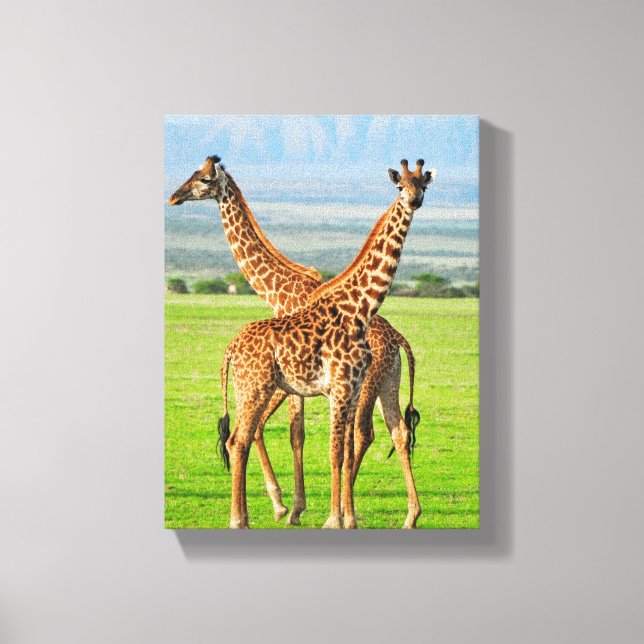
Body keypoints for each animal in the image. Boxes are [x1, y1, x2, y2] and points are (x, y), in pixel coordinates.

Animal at [169, 157, 423, 528]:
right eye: (193, 174)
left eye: (203, 179)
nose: (174, 197)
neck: (278, 289)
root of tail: (399, 339)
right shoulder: (301, 383)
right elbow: (290, 433)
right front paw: (294, 507)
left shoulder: (304, 384)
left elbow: (295, 434)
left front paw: (291, 507)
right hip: (387, 382)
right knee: (394, 432)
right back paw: (400, 513)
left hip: (370, 384)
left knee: (364, 434)